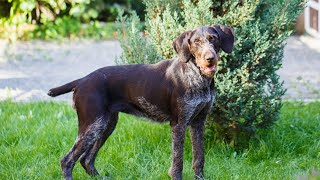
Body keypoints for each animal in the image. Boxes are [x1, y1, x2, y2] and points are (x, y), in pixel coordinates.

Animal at [48, 24, 235, 179]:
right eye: (196, 42)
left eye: (213, 38)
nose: (210, 58)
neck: (197, 77)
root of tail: (81, 81)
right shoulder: (179, 124)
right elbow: (178, 162)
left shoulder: (198, 122)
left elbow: (199, 158)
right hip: (92, 126)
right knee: (67, 161)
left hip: (105, 125)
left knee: (86, 159)